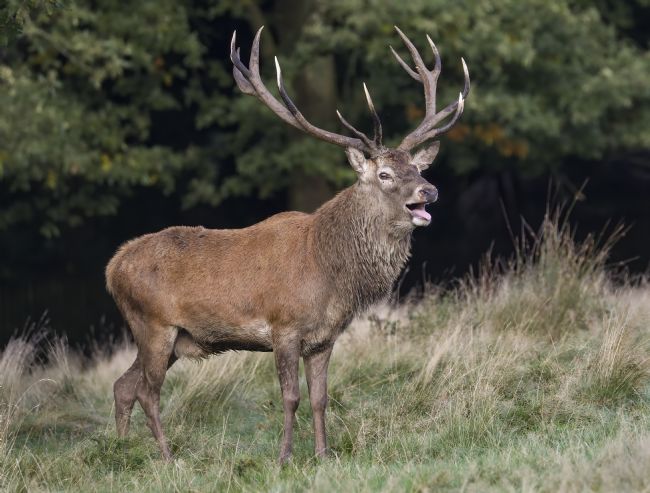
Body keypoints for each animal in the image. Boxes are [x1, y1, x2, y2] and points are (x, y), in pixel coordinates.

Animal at [106, 26, 469, 463]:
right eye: (384, 174)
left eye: (416, 166)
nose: (429, 190)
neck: (331, 274)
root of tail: (112, 268)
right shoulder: (284, 327)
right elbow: (290, 397)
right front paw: (284, 458)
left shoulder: (324, 338)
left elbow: (320, 398)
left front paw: (324, 455)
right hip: (153, 324)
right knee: (147, 391)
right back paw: (167, 457)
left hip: (172, 338)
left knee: (123, 385)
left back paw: (124, 452)